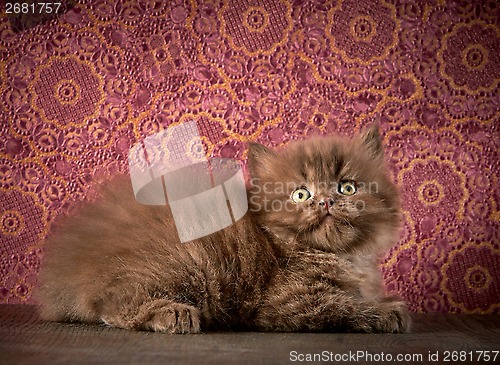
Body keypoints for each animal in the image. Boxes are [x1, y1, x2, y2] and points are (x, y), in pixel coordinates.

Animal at [35, 125, 410, 332]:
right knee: (111, 303)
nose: (325, 202)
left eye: (347, 187)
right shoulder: (288, 301)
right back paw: (172, 313)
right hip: (187, 263)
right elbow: (343, 306)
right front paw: (390, 311)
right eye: (301, 194)